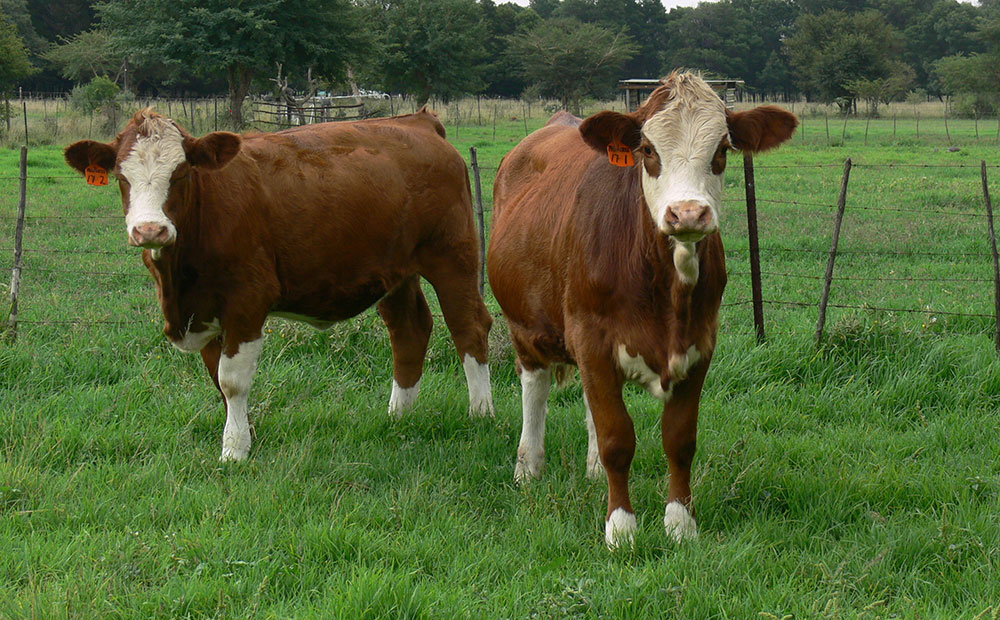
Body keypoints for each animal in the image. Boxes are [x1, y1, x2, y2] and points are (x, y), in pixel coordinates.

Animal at [64, 109, 494, 462]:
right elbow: (216, 379)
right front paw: (245, 434)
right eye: (122, 178)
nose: (150, 230)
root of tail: (419, 121)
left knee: (468, 326)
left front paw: (234, 450)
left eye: (181, 174)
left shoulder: (247, 300)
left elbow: (232, 381)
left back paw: (480, 413)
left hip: (453, 255)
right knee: (409, 329)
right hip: (397, 272)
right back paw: (398, 415)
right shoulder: (206, 313)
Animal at [486, 72, 796, 548]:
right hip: (524, 324)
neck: (665, 289)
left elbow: (679, 439)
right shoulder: (591, 338)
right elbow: (617, 438)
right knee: (534, 385)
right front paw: (621, 527)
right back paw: (528, 466)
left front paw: (680, 523)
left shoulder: (700, 344)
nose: (688, 212)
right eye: (648, 150)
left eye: (722, 149)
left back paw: (592, 469)